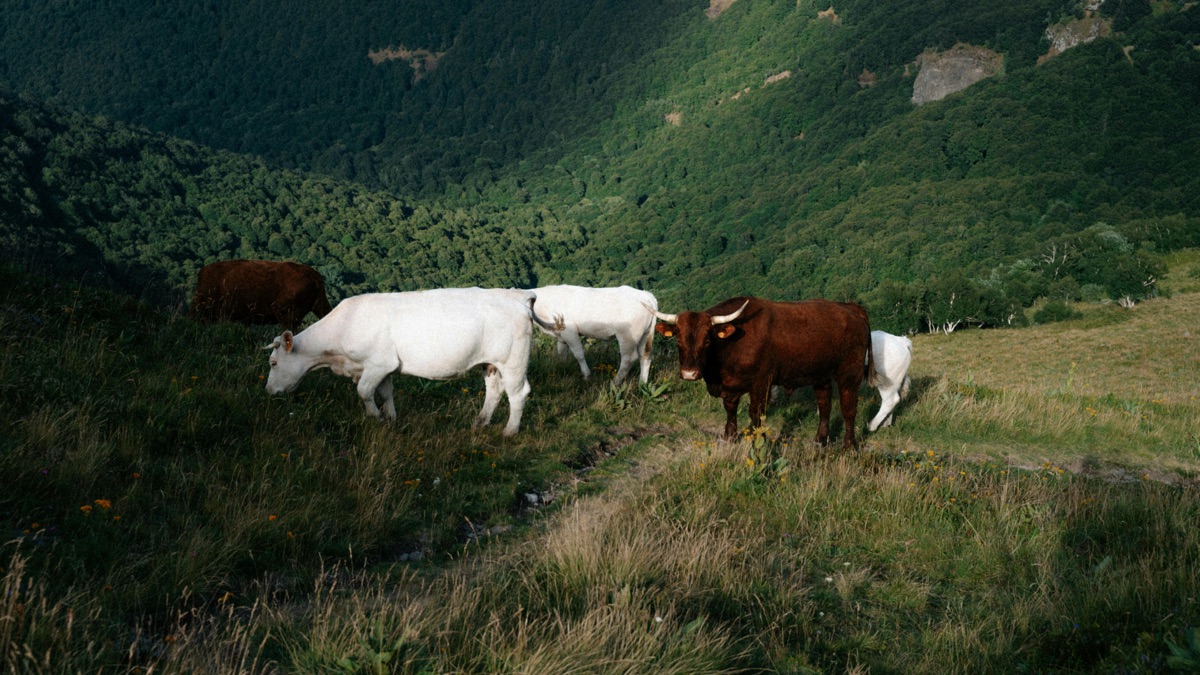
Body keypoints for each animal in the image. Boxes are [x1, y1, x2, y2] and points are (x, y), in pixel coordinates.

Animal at [264, 288, 562, 436]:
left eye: (273, 363)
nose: (268, 392)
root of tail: (518, 295)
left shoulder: (376, 363)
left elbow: (364, 392)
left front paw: (375, 418)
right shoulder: (384, 366)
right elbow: (386, 393)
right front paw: (390, 419)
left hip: (513, 359)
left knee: (518, 392)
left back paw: (509, 431)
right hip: (490, 362)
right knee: (494, 390)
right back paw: (480, 422)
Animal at [653, 296, 872, 449]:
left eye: (707, 341)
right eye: (678, 340)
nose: (689, 373)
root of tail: (849, 308)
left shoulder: (761, 382)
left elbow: (756, 413)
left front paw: (759, 440)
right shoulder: (730, 384)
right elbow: (730, 408)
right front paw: (729, 436)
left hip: (850, 373)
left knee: (848, 408)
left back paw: (849, 445)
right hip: (821, 375)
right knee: (825, 405)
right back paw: (820, 439)